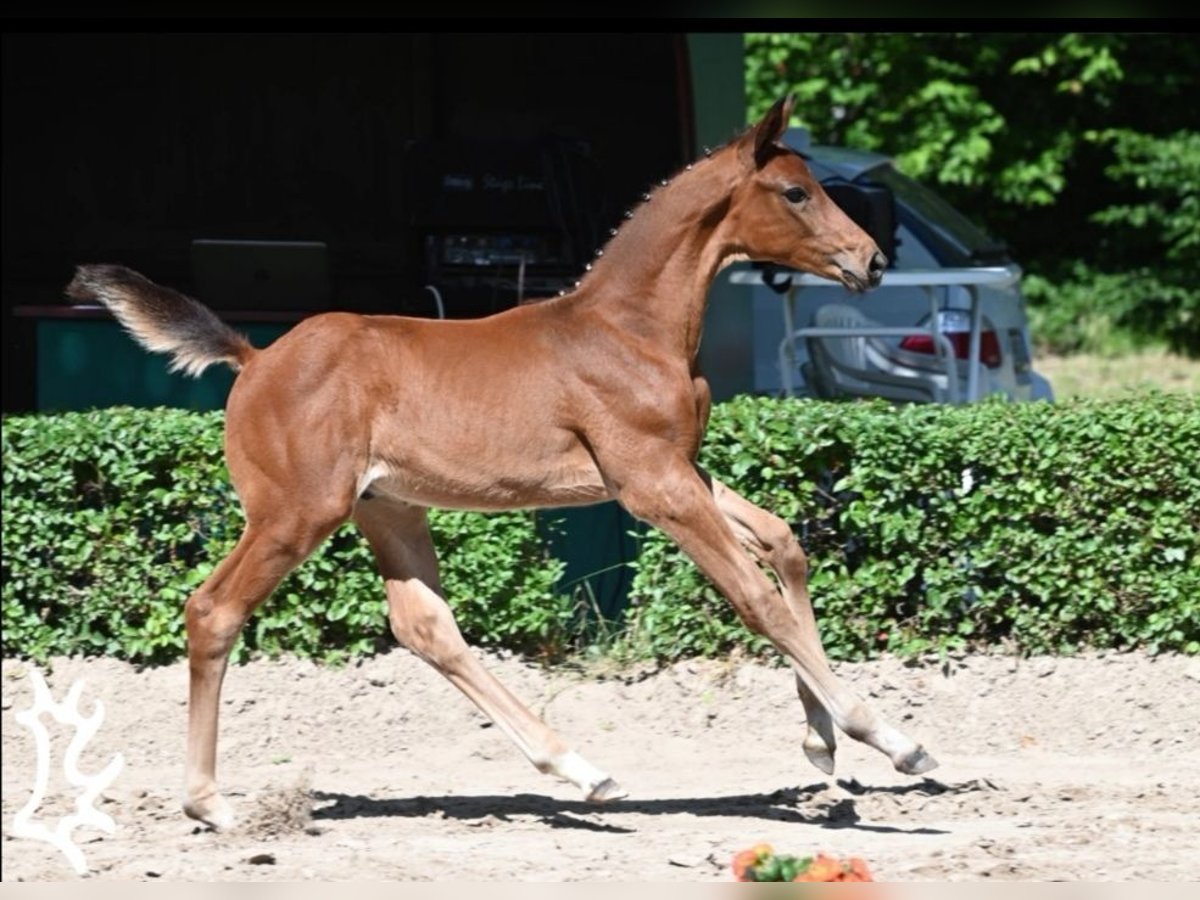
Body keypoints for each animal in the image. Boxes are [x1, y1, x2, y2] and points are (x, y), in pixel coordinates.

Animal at [68, 98, 936, 830]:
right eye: (795, 192)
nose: (871, 261)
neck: (630, 328)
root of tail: (254, 358)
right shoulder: (652, 488)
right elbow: (756, 600)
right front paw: (887, 736)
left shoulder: (679, 470)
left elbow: (783, 544)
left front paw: (823, 742)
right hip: (295, 514)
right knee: (214, 611)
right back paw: (211, 804)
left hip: (387, 508)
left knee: (424, 626)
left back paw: (581, 769)